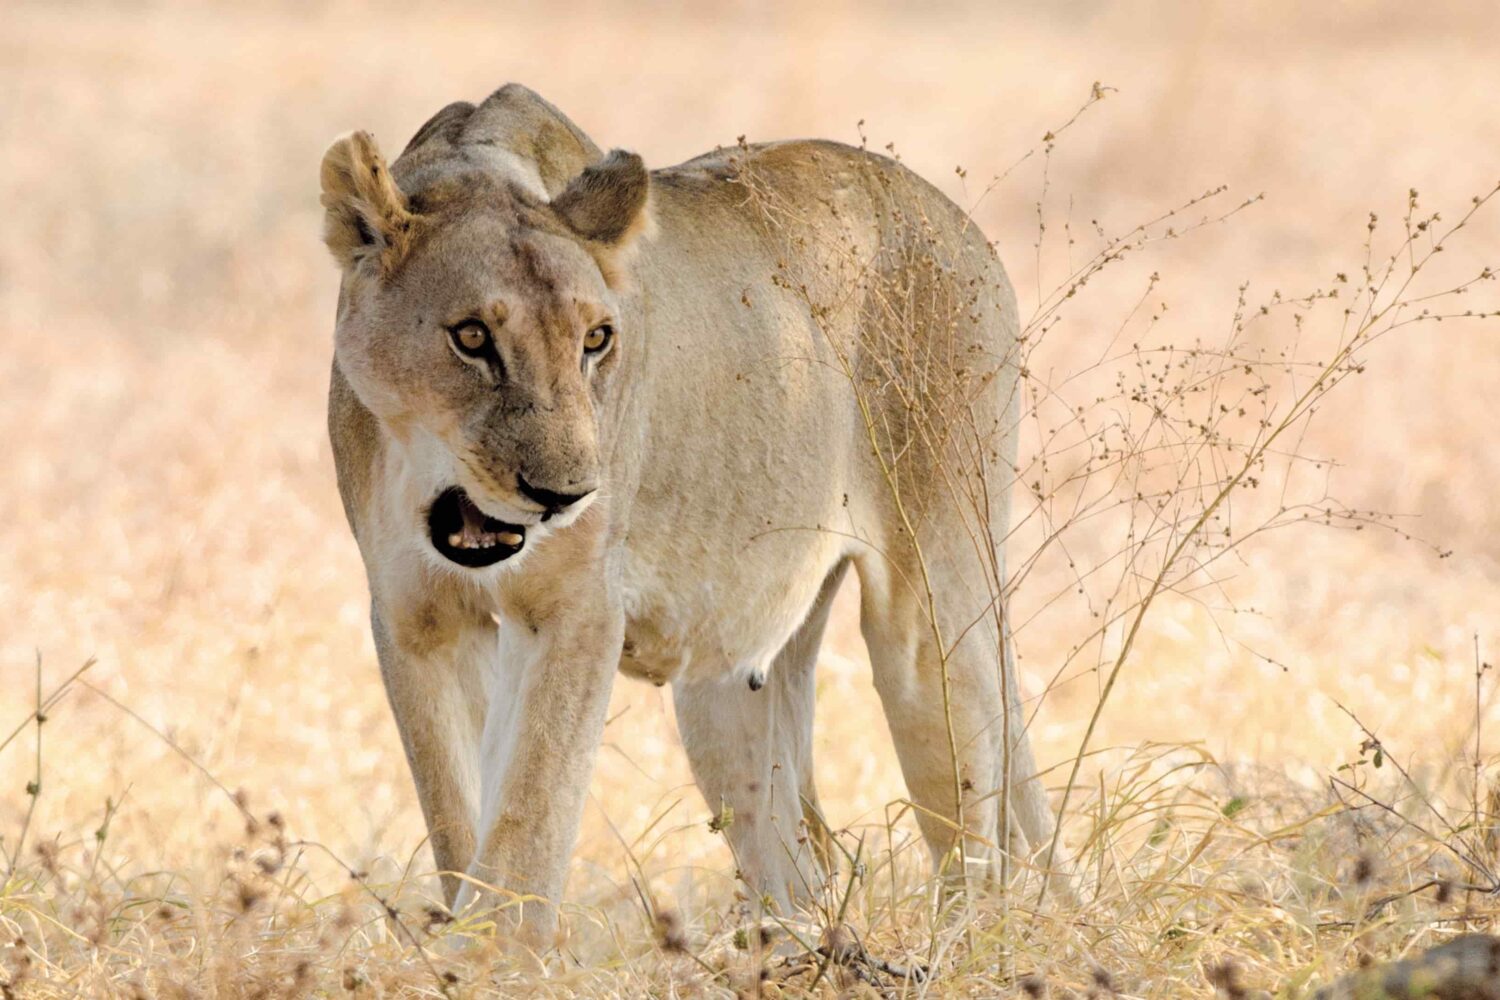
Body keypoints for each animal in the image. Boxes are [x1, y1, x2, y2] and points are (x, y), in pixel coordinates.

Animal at [320, 84, 1057, 932]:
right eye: (470, 337)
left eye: (597, 340)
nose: (566, 497)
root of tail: (957, 221)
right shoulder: (414, 617)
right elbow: (460, 819)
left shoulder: (577, 608)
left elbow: (529, 818)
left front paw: (492, 949)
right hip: (732, 683)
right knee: (801, 859)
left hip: (934, 613)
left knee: (981, 845)